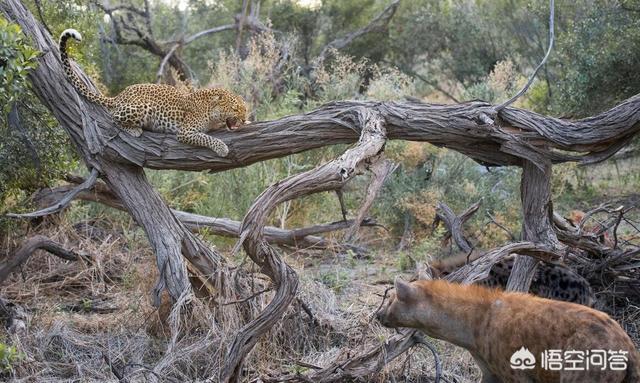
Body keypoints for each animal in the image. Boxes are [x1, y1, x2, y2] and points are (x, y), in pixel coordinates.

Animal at [59, 27, 250, 158]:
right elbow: (207, 138)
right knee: (114, 117)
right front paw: (222, 148)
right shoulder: (186, 132)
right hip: (140, 107)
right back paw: (134, 130)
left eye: (245, 109)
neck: (211, 110)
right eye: (234, 109)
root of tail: (120, 95)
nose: (242, 119)